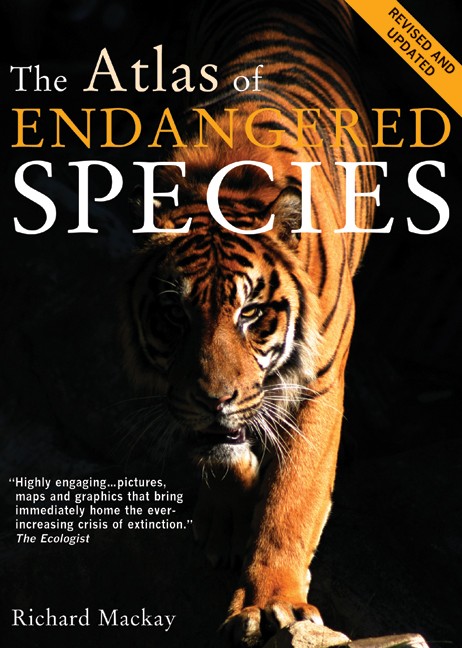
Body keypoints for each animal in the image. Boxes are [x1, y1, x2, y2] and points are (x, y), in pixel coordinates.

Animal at [123, 0, 376, 645]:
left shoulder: (319, 385)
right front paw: (224, 522)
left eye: (252, 313)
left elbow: (292, 499)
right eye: (175, 314)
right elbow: (219, 455)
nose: (217, 399)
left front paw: (270, 604)